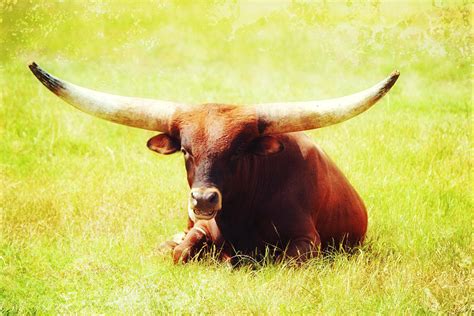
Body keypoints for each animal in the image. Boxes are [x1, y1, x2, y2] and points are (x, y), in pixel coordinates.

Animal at [29, 62, 400, 264]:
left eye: (237, 151)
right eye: (186, 151)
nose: (204, 199)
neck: (243, 214)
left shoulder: (306, 241)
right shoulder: (203, 226)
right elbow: (181, 252)